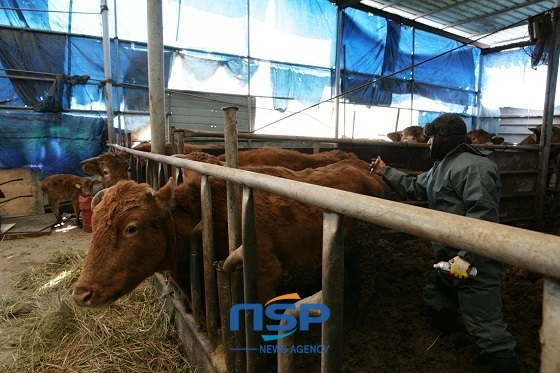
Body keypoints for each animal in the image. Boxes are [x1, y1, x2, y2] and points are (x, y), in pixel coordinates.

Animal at [72, 158, 390, 318]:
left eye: (131, 228)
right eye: (96, 225)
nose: (81, 293)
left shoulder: (264, 272)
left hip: (364, 244)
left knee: (368, 275)